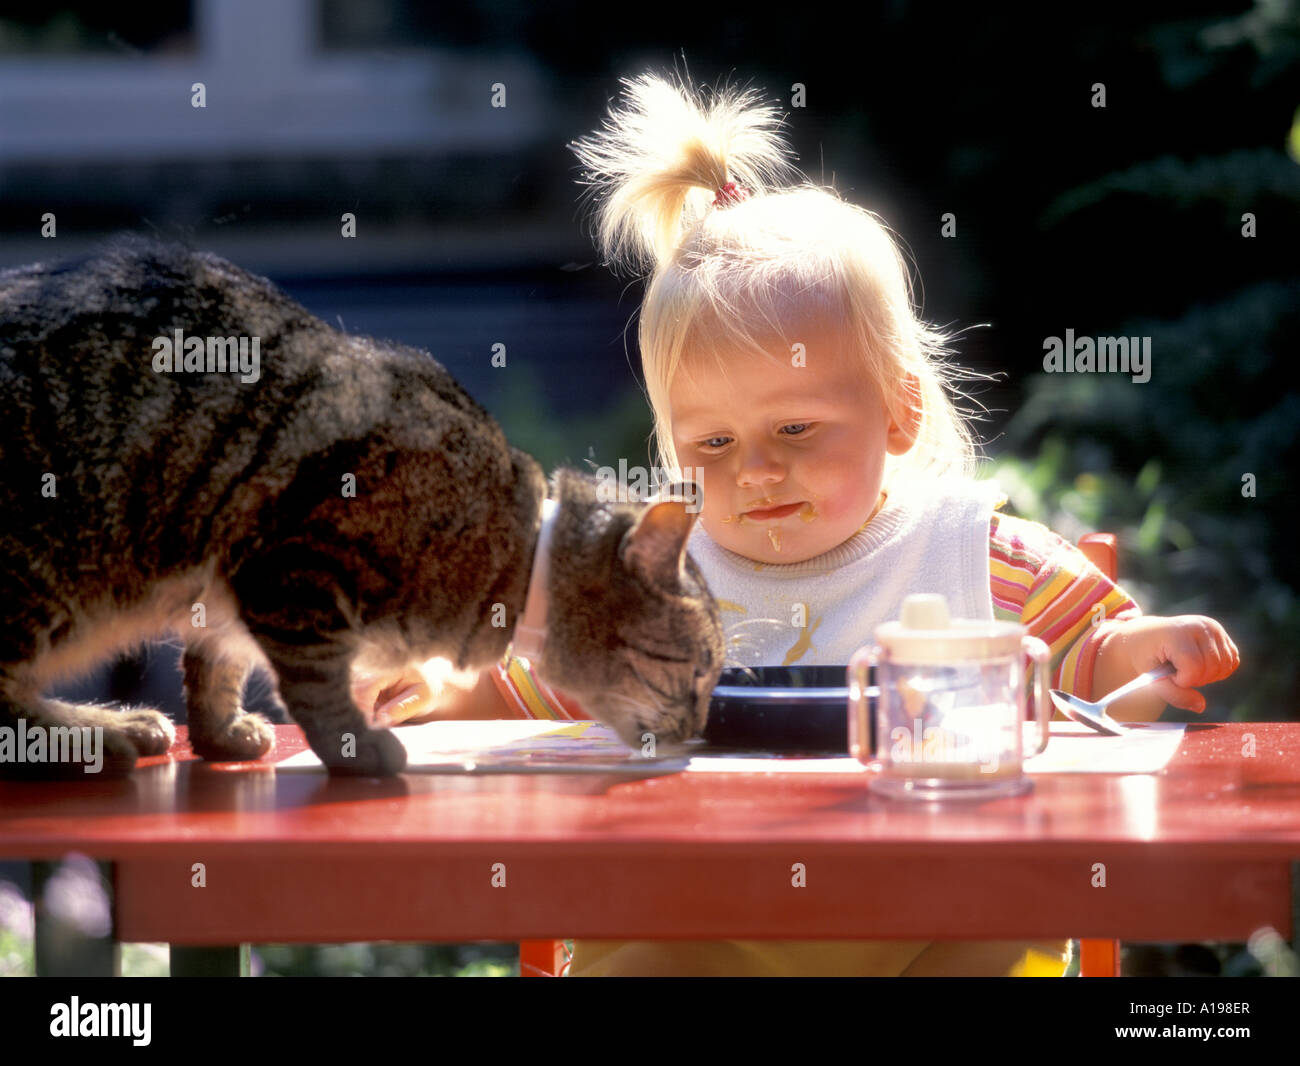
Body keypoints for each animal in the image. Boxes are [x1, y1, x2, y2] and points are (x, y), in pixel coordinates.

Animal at [0, 237, 722, 780]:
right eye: (697, 673)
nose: (700, 730)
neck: (514, 550)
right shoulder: (295, 574)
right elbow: (315, 687)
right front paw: (355, 747)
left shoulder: (234, 596)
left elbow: (216, 667)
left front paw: (221, 733)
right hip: (42, 577)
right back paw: (96, 734)